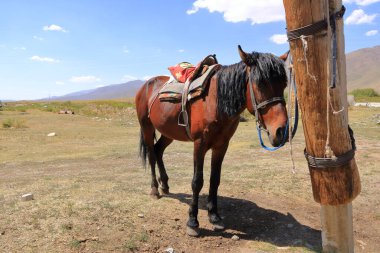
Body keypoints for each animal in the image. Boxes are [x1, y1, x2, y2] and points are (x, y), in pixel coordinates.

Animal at [135, 45, 286, 235]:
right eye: (260, 83)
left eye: (285, 84)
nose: (280, 131)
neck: (216, 101)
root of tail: (146, 86)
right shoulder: (199, 144)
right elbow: (197, 181)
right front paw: (192, 221)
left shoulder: (221, 145)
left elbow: (215, 180)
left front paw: (214, 216)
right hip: (147, 128)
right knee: (152, 154)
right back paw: (155, 189)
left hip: (168, 132)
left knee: (158, 150)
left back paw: (165, 185)